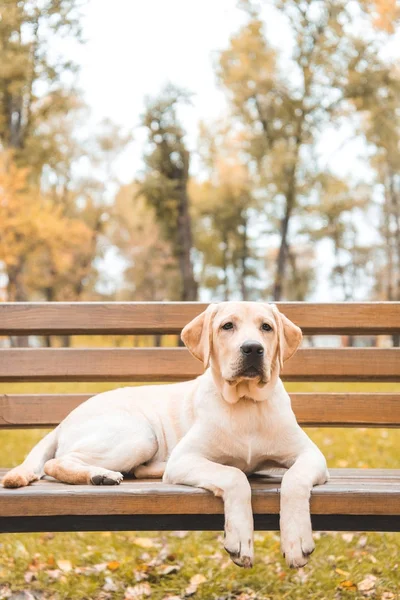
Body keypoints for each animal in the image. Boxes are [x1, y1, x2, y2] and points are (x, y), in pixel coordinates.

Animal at [2, 302, 328, 568]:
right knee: (55, 462)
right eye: (227, 326)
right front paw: (240, 538)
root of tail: (65, 419)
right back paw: (100, 475)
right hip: (140, 435)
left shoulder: (311, 455)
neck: (245, 403)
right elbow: (234, 476)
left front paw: (296, 540)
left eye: (266, 327)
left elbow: (294, 480)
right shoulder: (186, 458)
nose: (252, 349)